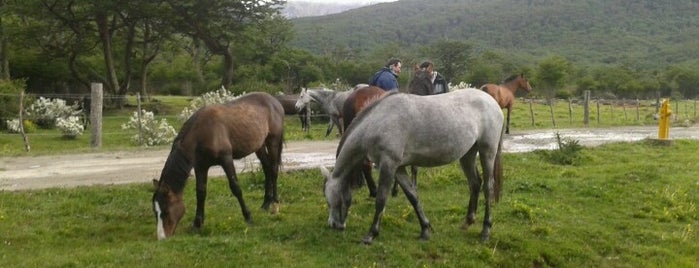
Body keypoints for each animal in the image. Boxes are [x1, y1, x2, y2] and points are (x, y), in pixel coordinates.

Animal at [152, 92, 284, 241]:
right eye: (155, 212)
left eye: (166, 211)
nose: (162, 237)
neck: (203, 132)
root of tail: (274, 101)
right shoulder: (200, 166)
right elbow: (201, 192)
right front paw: (197, 224)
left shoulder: (226, 160)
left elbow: (236, 188)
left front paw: (248, 217)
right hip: (259, 145)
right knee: (267, 169)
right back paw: (265, 203)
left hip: (273, 141)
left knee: (273, 170)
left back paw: (275, 203)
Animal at [320, 89, 506, 244]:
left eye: (329, 200)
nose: (333, 225)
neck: (378, 121)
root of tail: (493, 102)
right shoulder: (398, 168)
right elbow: (413, 196)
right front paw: (425, 230)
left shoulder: (388, 165)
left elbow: (381, 199)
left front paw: (371, 234)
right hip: (467, 155)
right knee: (475, 183)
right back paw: (467, 221)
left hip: (487, 152)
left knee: (488, 187)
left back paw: (485, 231)